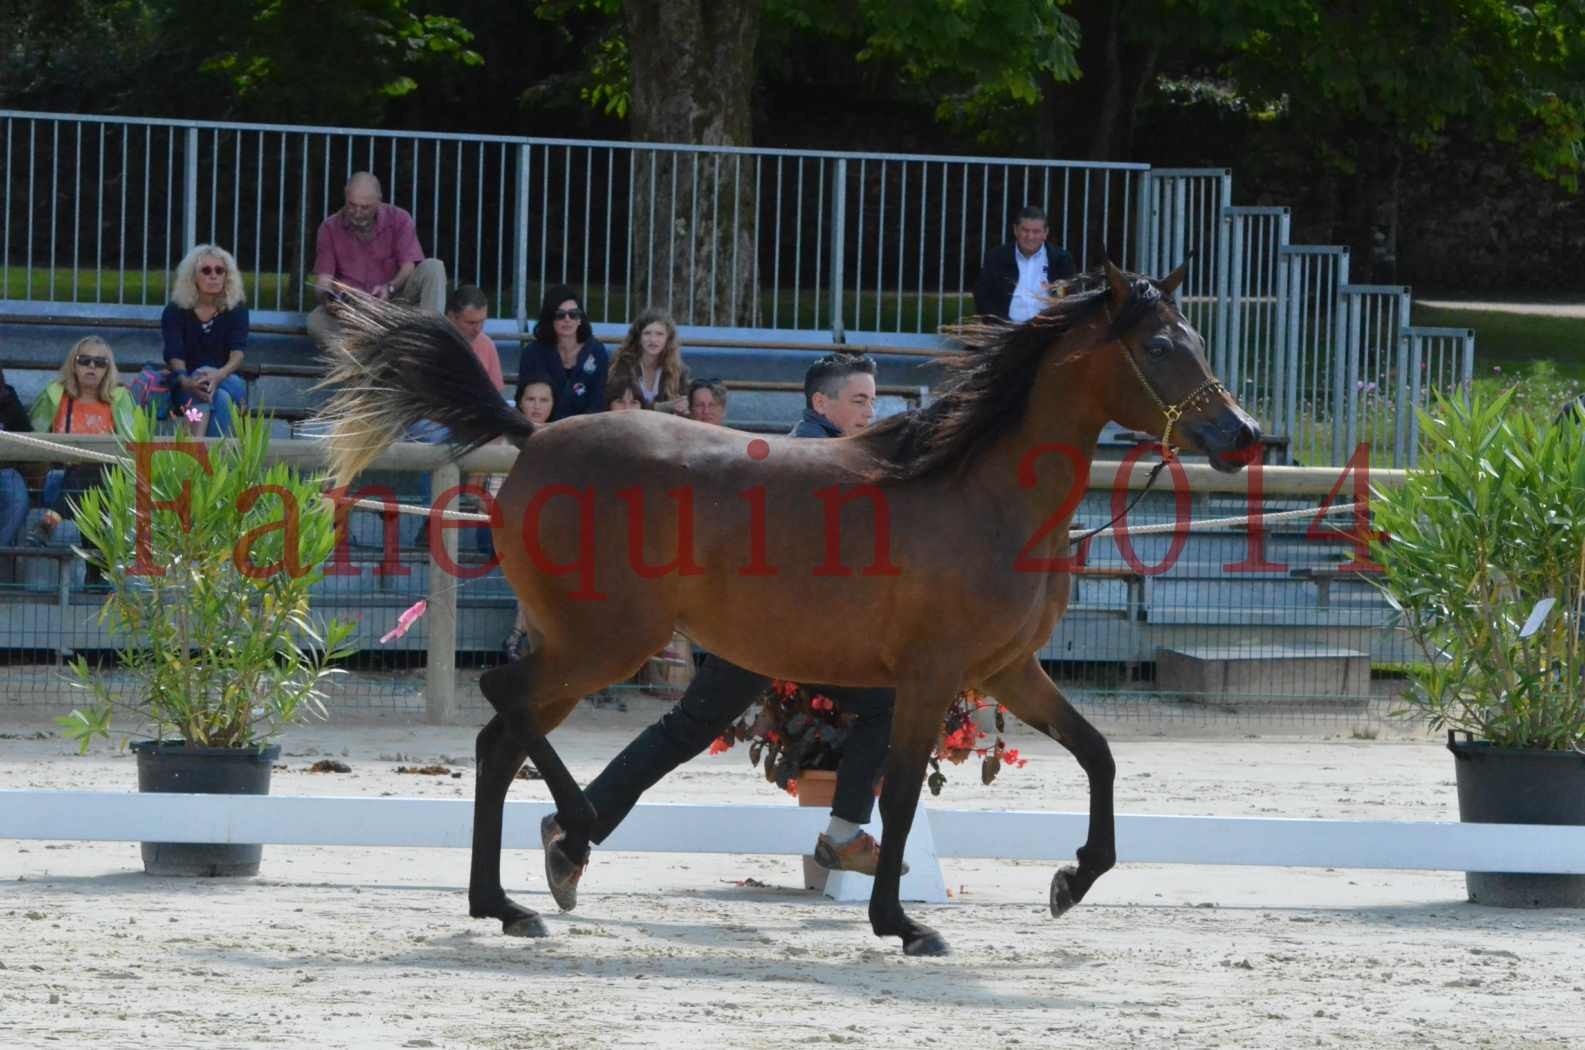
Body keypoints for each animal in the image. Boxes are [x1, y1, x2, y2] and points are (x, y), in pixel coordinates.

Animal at [318, 258, 1261, 958]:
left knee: (498, 738)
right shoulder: (931, 676)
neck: (983, 492)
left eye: (1197, 338)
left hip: (582, 644)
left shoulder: (1006, 670)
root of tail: (534, 434)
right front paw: (902, 924)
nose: (1242, 438)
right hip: (603, 642)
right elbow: (898, 795)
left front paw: (1071, 880)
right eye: (1162, 346)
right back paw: (568, 836)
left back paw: (511, 902)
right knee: (502, 703)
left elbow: (1097, 754)